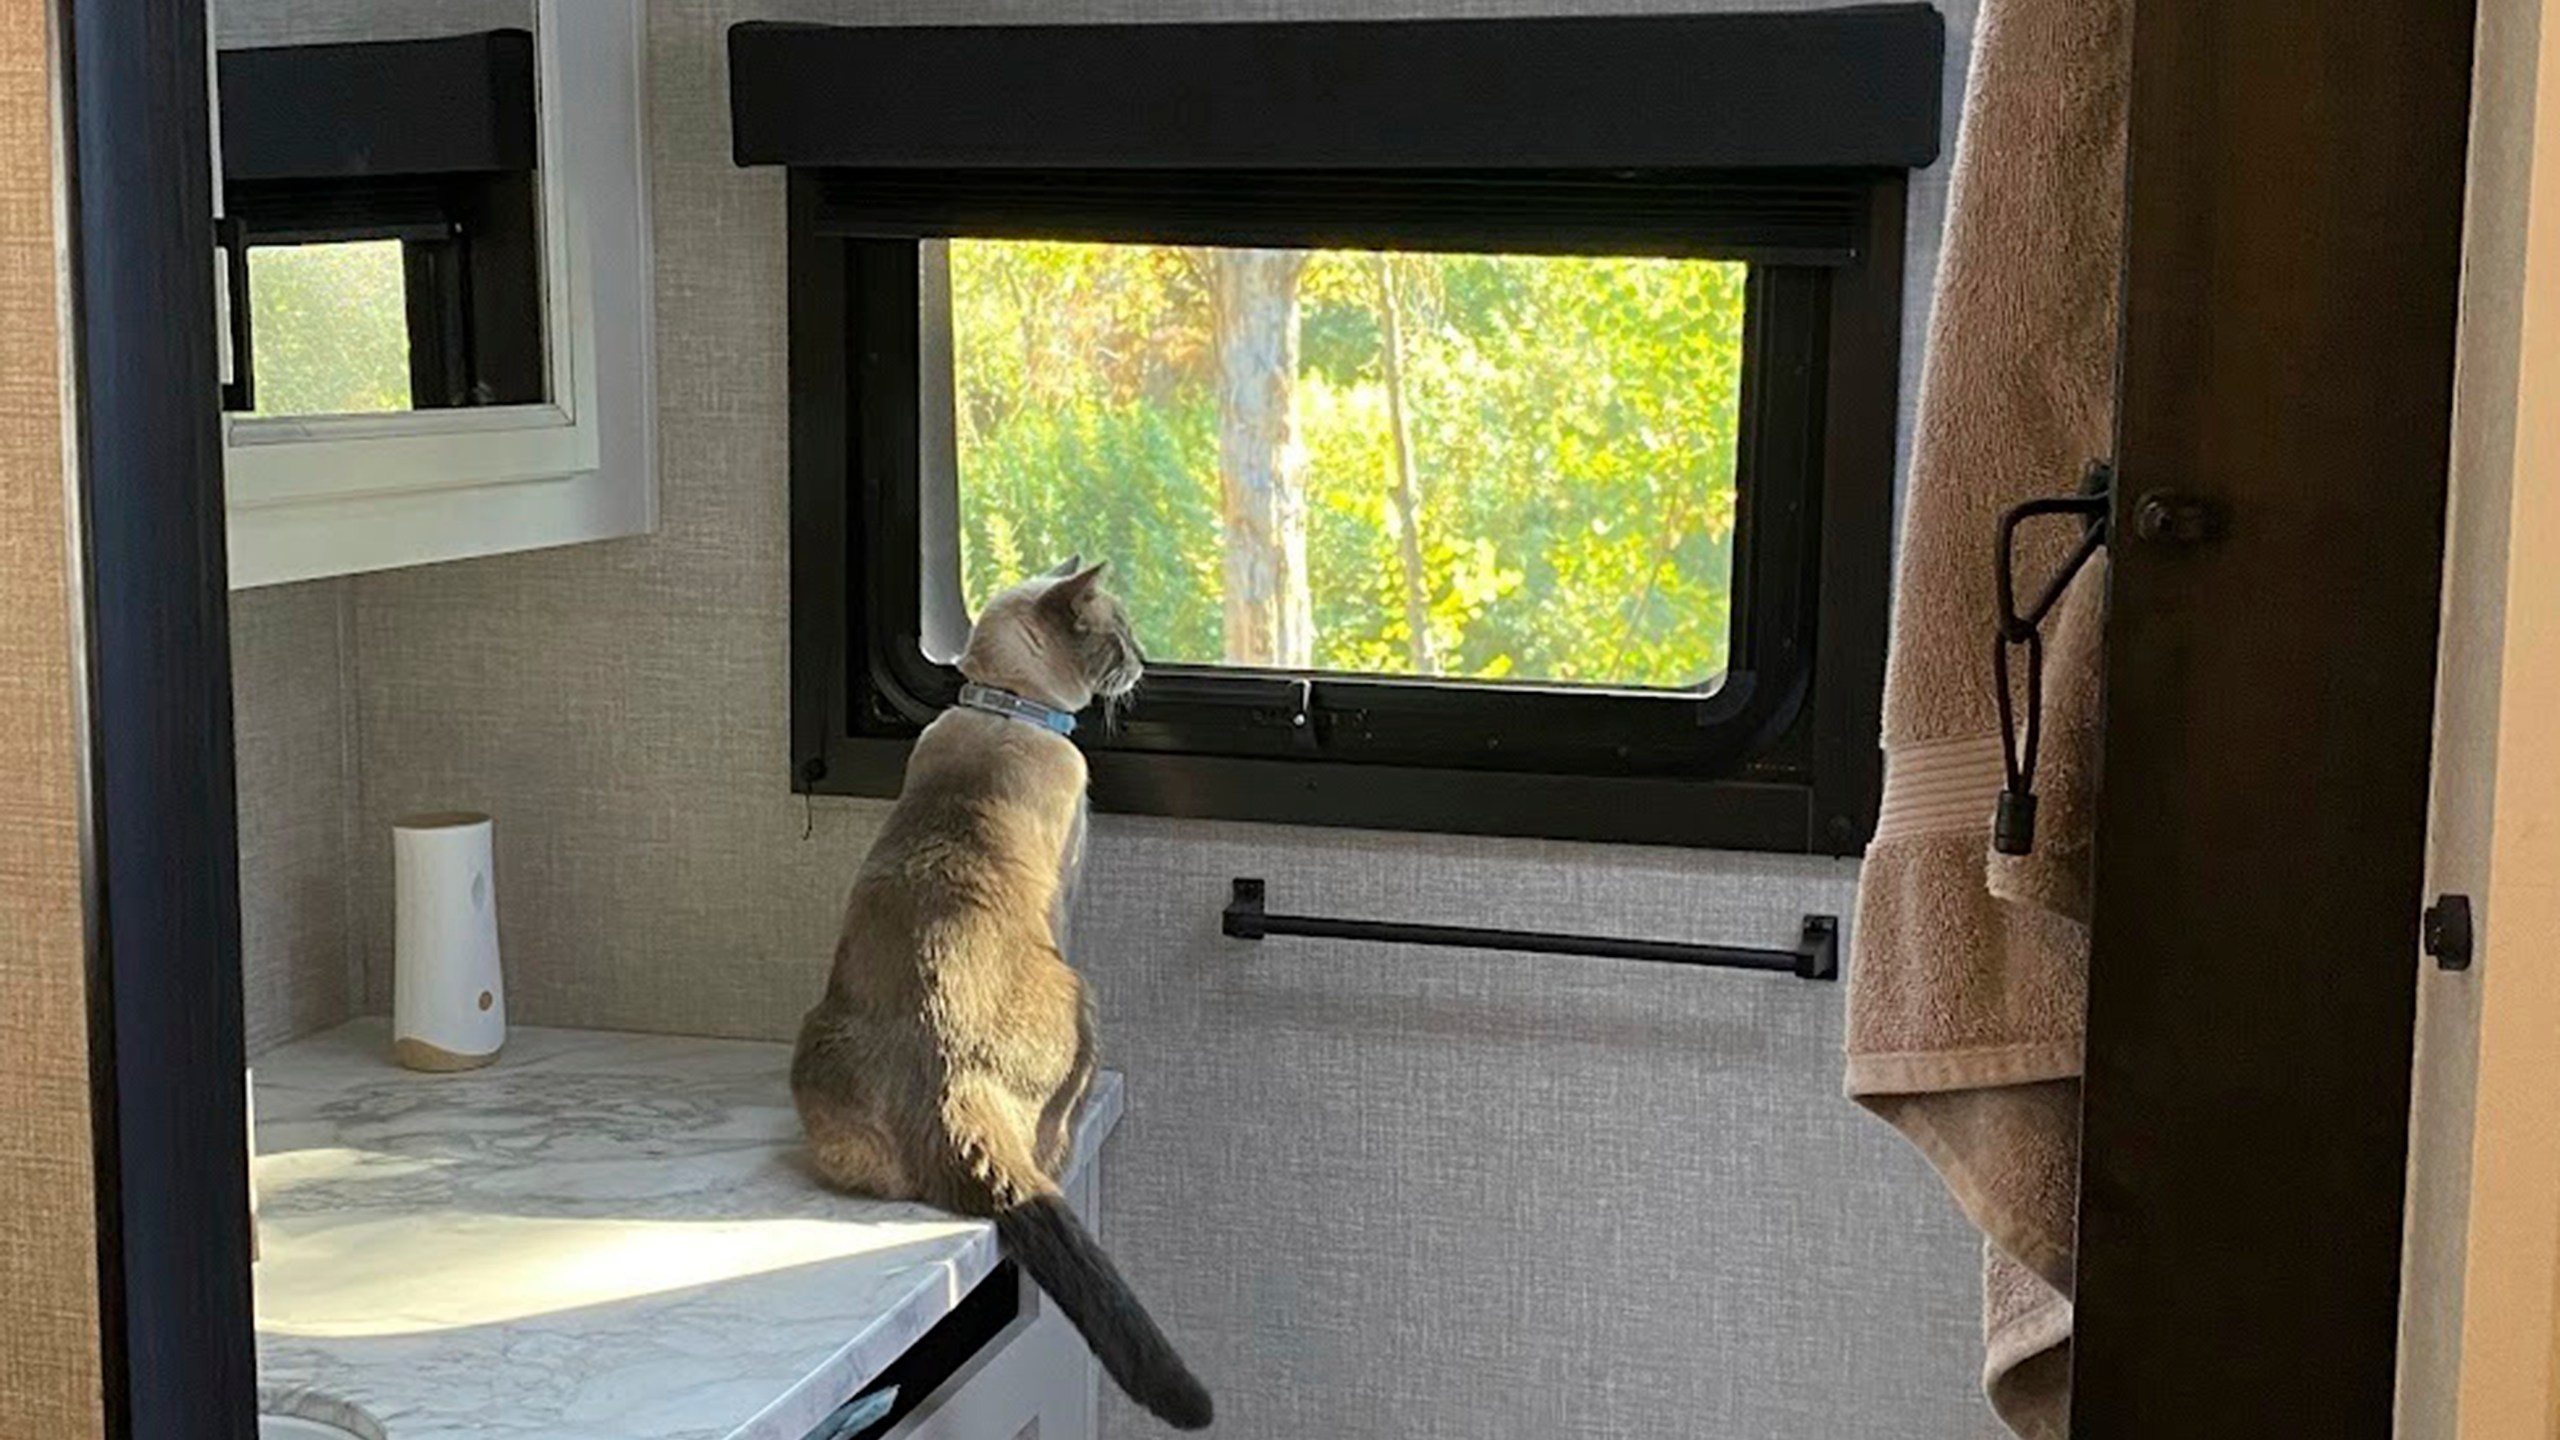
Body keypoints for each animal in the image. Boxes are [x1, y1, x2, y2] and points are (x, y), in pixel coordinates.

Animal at [788, 556, 1208, 1414]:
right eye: (1120, 636)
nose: (1145, 661)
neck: (1004, 708)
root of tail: (950, 1081)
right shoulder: (1068, 890)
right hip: (1081, 992)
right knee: (1049, 1147)